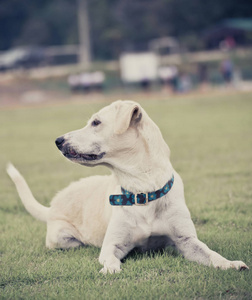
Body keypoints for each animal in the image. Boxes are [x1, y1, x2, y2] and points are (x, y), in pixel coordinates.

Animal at [7, 99, 248, 274]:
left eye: (96, 122)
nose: (58, 141)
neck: (142, 189)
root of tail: (51, 207)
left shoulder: (186, 241)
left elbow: (211, 253)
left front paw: (230, 263)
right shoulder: (112, 246)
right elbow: (111, 259)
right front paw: (110, 269)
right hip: (63, 239)